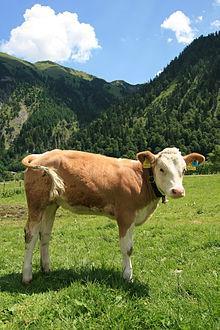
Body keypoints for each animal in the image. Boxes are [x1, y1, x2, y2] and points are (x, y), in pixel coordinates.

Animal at [20, 148, 205, 284]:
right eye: (161, 169)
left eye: (184, 170)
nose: (178, 191)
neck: (142, 180)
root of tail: (39, 155)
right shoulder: (125, 216)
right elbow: (127, 248)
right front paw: (127, 276)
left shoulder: (132, 218)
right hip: (36, 203)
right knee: (31, 235)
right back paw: (27, 276)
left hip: (51, 204)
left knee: (44, 235)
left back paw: (46, 268)